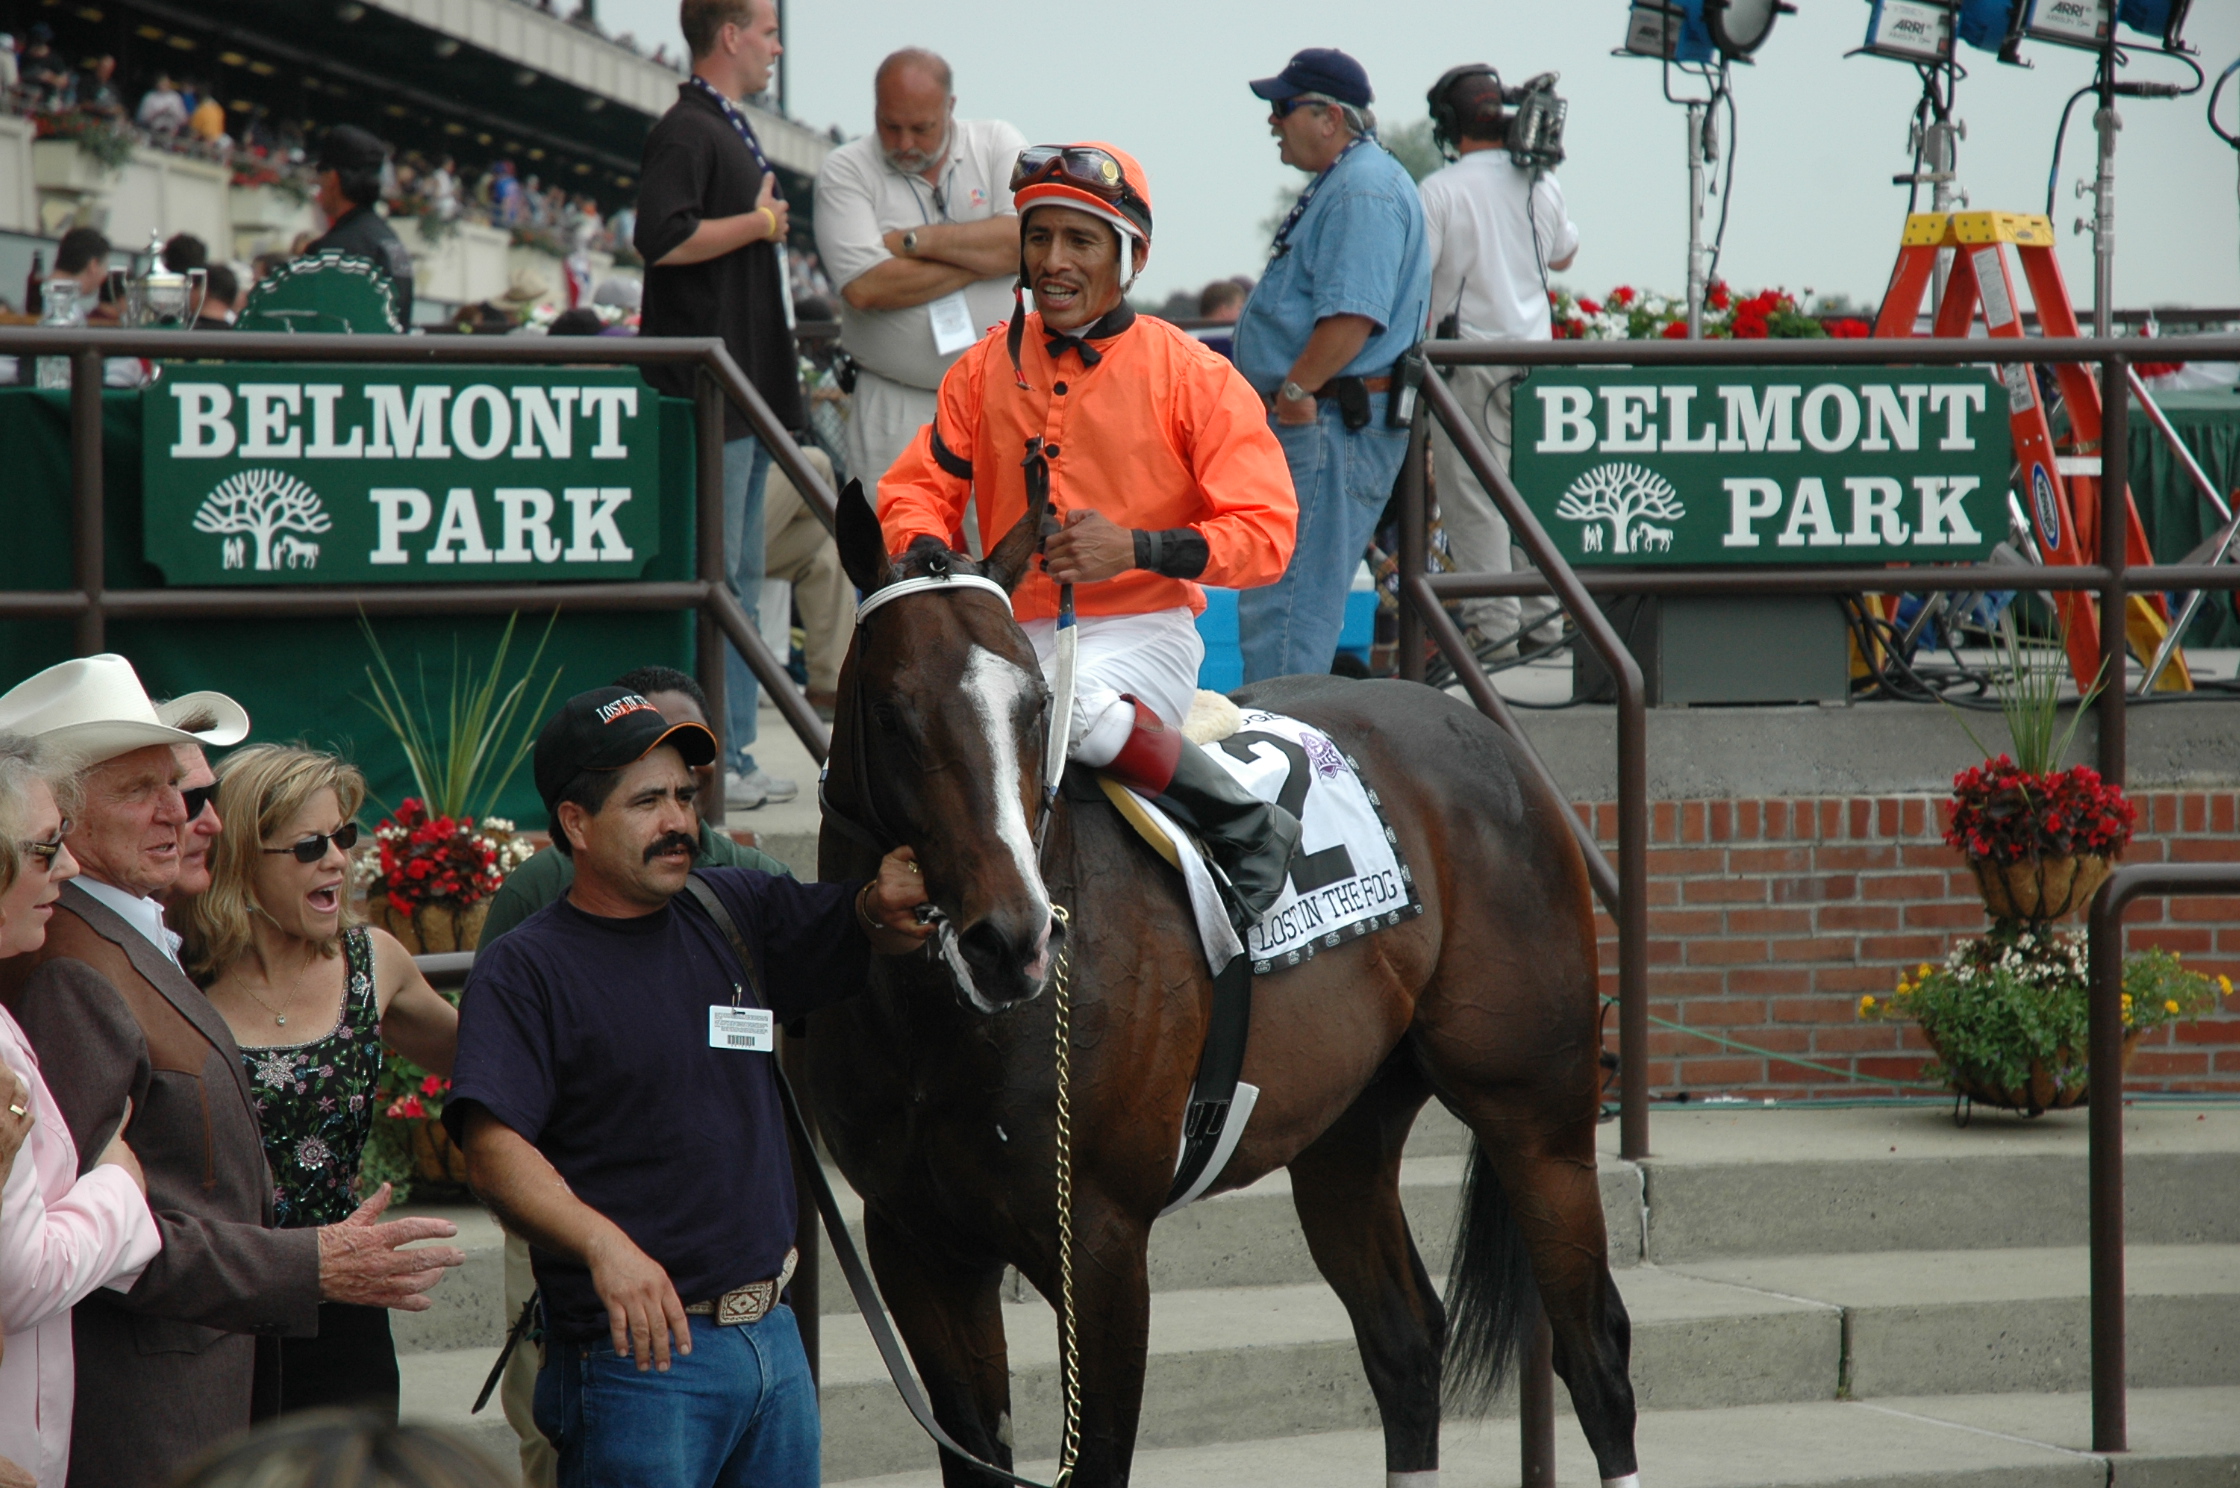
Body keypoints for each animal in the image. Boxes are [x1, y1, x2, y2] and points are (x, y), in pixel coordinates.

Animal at [810, 481, 1648, 1479]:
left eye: (1037, 706)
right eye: (890, 711)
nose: (1009, 940)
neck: (937, 1033)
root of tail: (1478, 728)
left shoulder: (1099, 1245)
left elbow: (1100, 1457)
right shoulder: (918, 1246)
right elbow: (976, 1445)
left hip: (1538, 1119)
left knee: (1594, 1351)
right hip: (1346, 1131)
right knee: (1404, 1340)